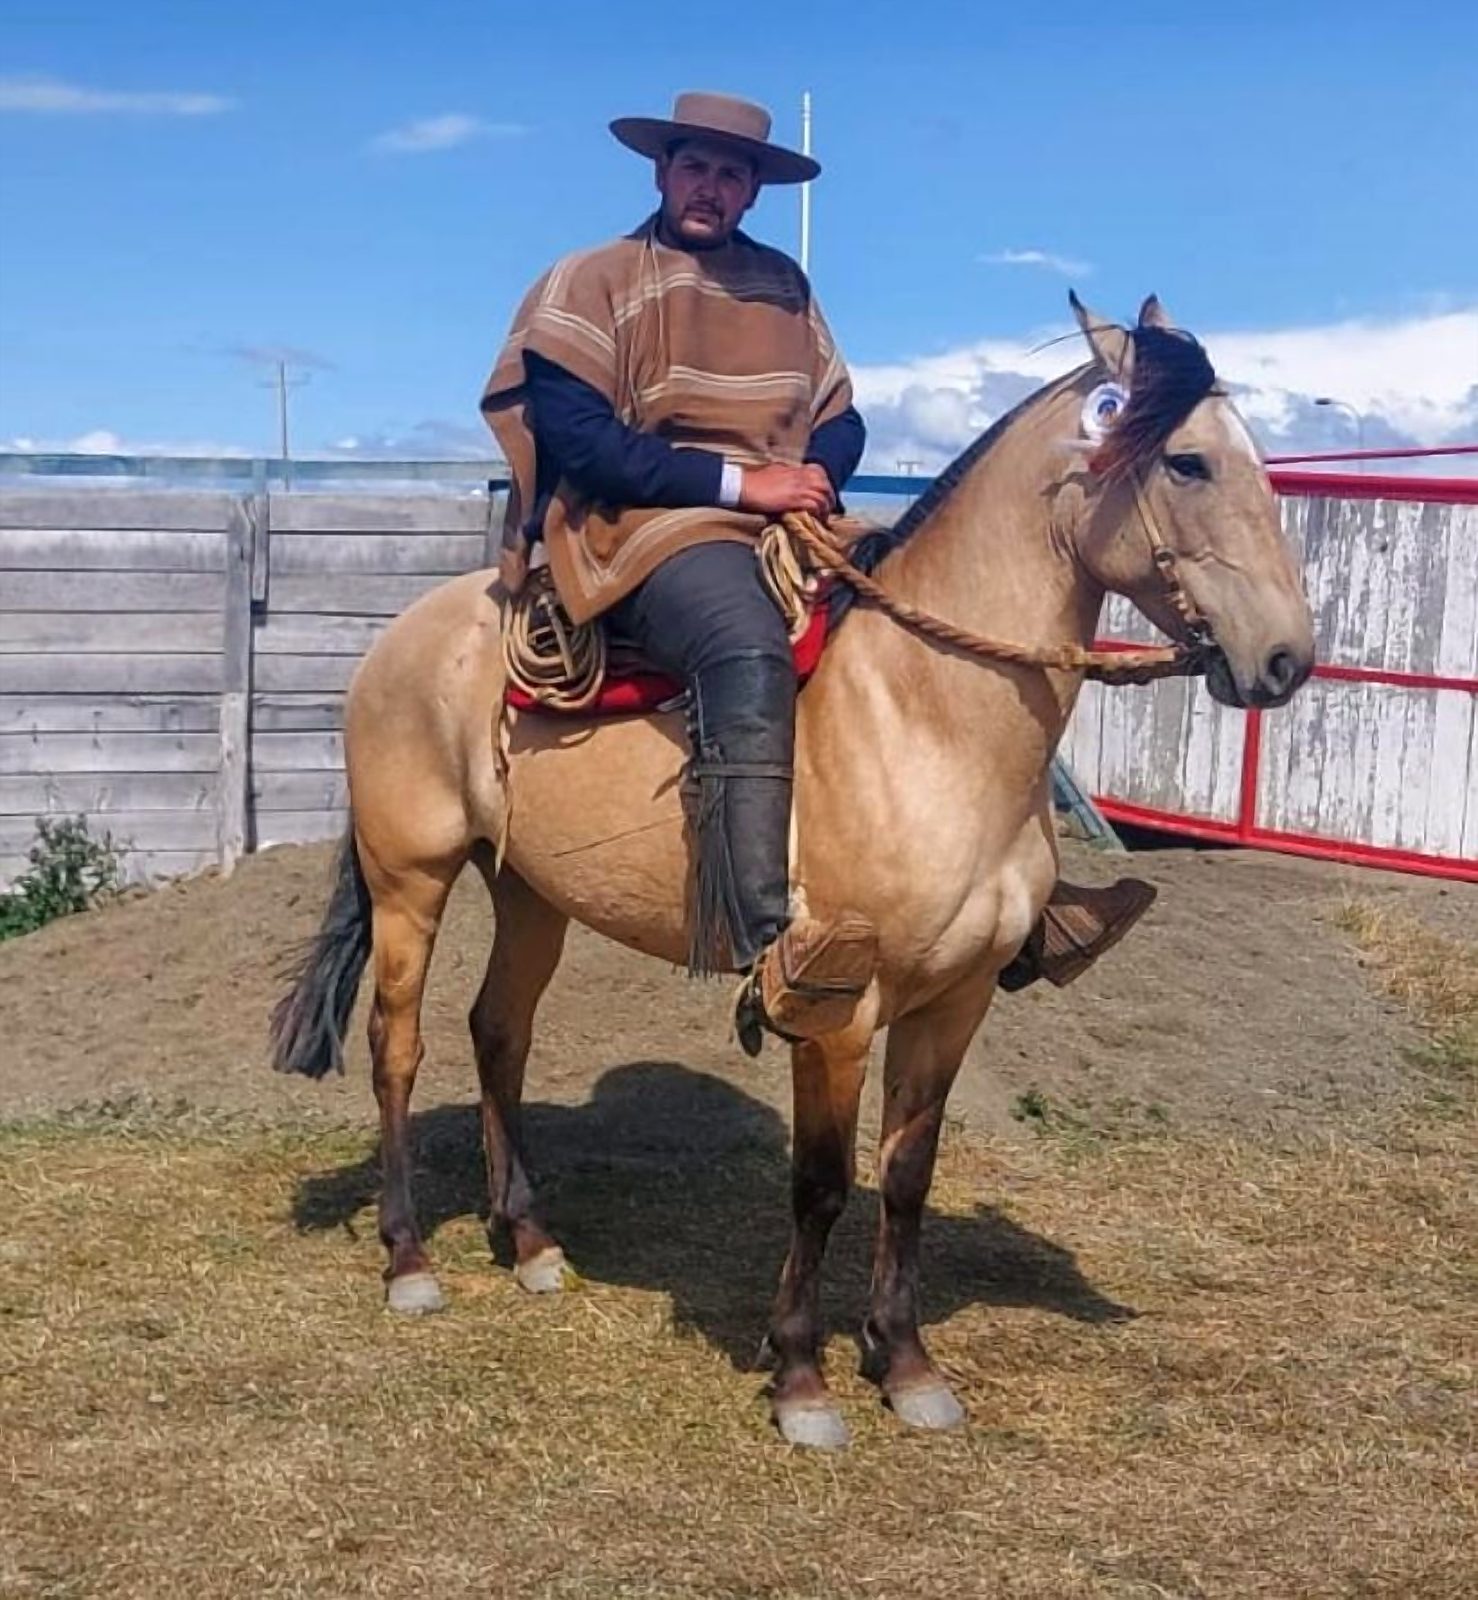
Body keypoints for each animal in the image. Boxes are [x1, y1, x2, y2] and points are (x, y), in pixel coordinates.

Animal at [272, 294, 1314, 1450]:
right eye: (1186, 462)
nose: (1285, 658)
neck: (925, 716)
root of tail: (400, 640)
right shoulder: (837, 1011)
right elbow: (820, 1183)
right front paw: (802, 1377)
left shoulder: (953, 1002)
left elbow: (905, 1177)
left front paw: (905, 1362)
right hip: (409, 878)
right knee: (397, 1047)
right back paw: (409, 1260)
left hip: (530, 894)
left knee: (498, 1033)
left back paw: (532, 1243)